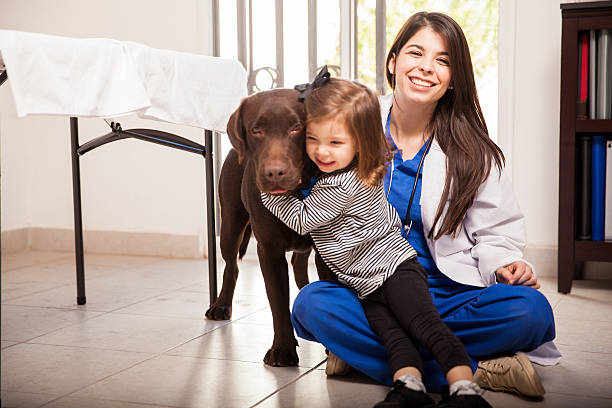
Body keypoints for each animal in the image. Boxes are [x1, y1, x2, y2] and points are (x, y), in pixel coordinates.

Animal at [206, 88, 332, 366]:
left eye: (297, 127)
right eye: (256, 130)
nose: (275, 173)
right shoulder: (269, 249)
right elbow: (278, 302)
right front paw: (283, 349)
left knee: (299, 263)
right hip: (230, 223)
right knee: (232, 266)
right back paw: (221, 305)